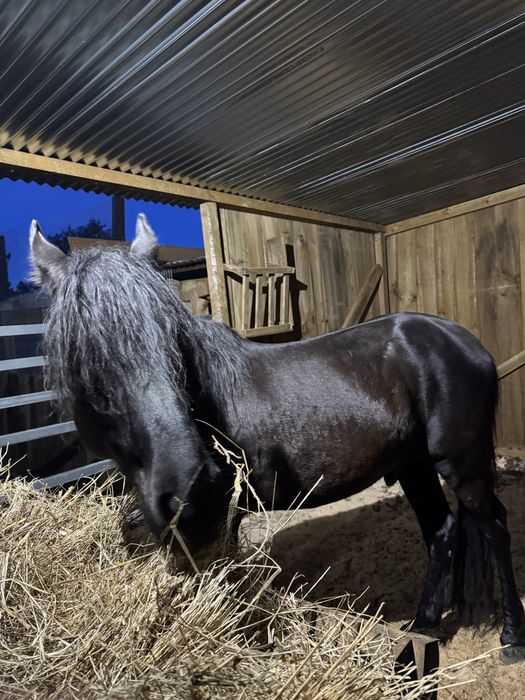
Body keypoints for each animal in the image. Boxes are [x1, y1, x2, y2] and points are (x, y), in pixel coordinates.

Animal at [29, 213, 525, 649]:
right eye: (88, 355)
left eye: (175, 341)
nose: (191, 489)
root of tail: (462, 340)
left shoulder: (220, 517)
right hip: (414, 465)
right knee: (442, 530)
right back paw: (423, 627)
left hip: (461, 463)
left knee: (496, 526)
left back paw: (510, 638)